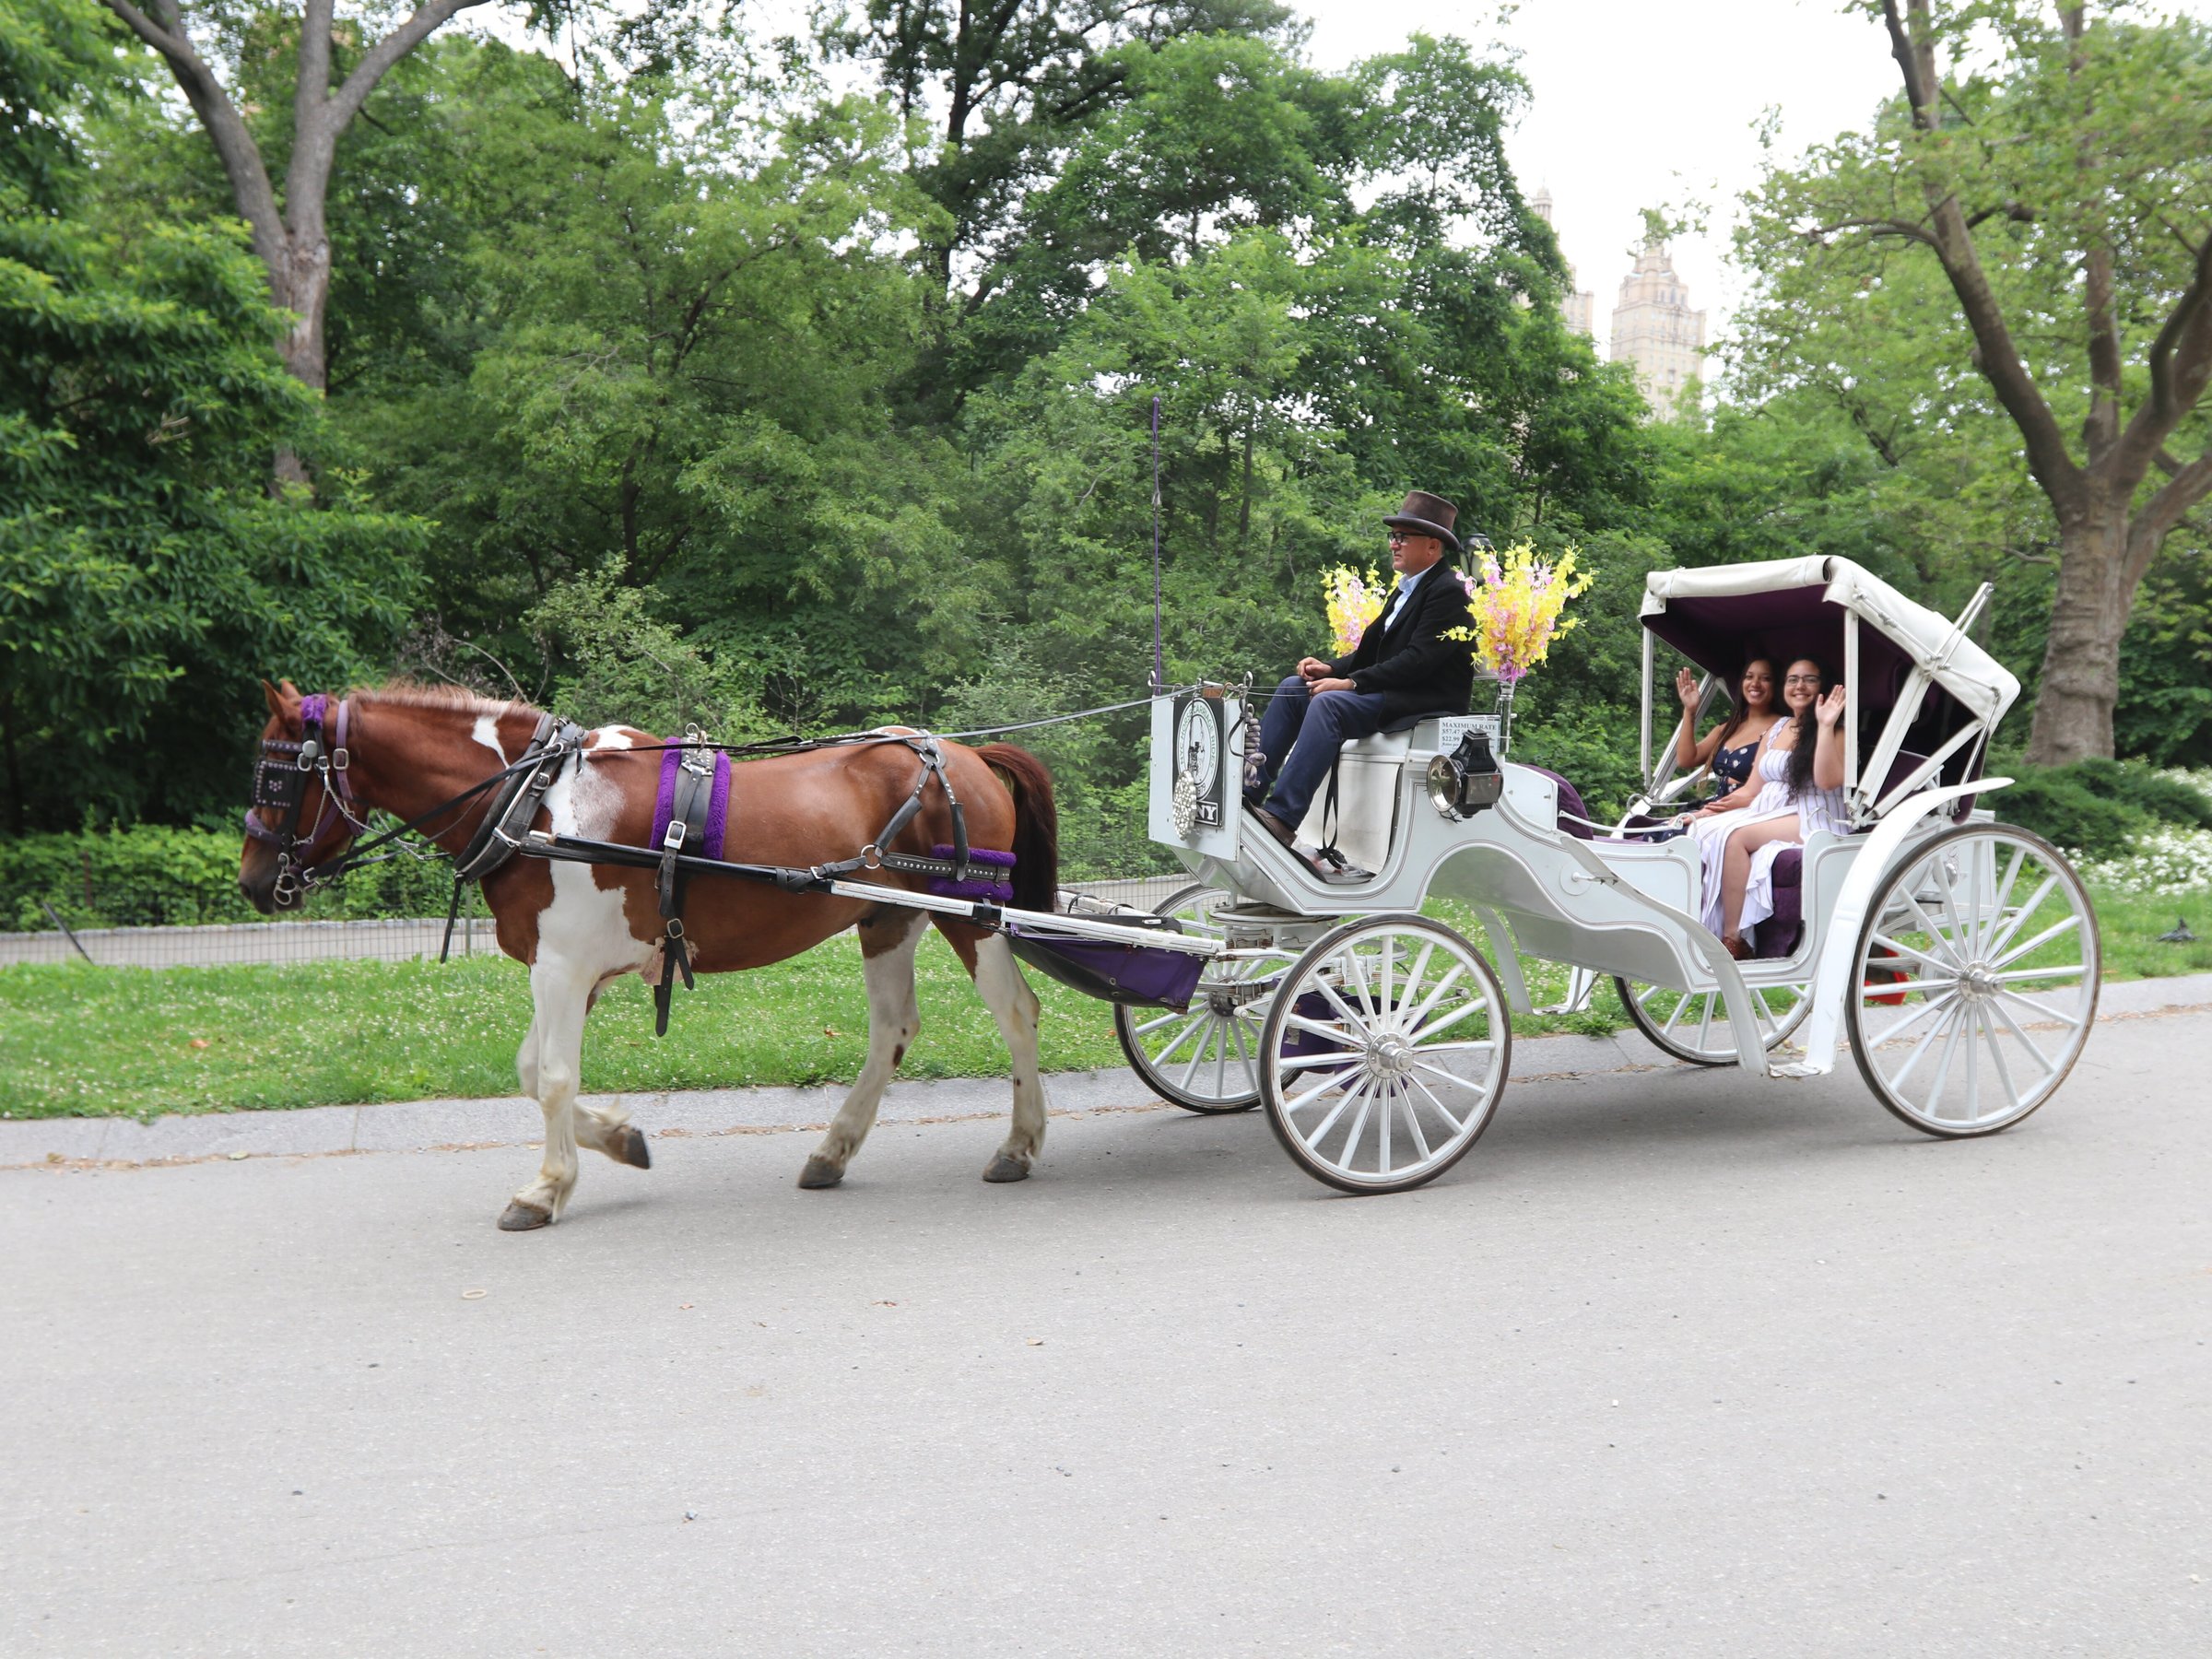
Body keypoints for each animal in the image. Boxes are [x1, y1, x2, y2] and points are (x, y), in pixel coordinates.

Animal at [246, 677, 1057, 1239]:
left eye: (277, 776)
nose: (255, 883)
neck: (536, 802)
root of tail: (967, 754)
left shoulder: (563, 968)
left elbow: (552, 1079)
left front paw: (545, 1188)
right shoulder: (566, 972)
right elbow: (532, 1072)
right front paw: (619, 1139)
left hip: (975, 919)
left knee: (1017, 1012)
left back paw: (1019, 1145)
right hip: (887, 919)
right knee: (892, 1029)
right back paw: (834, 1150)